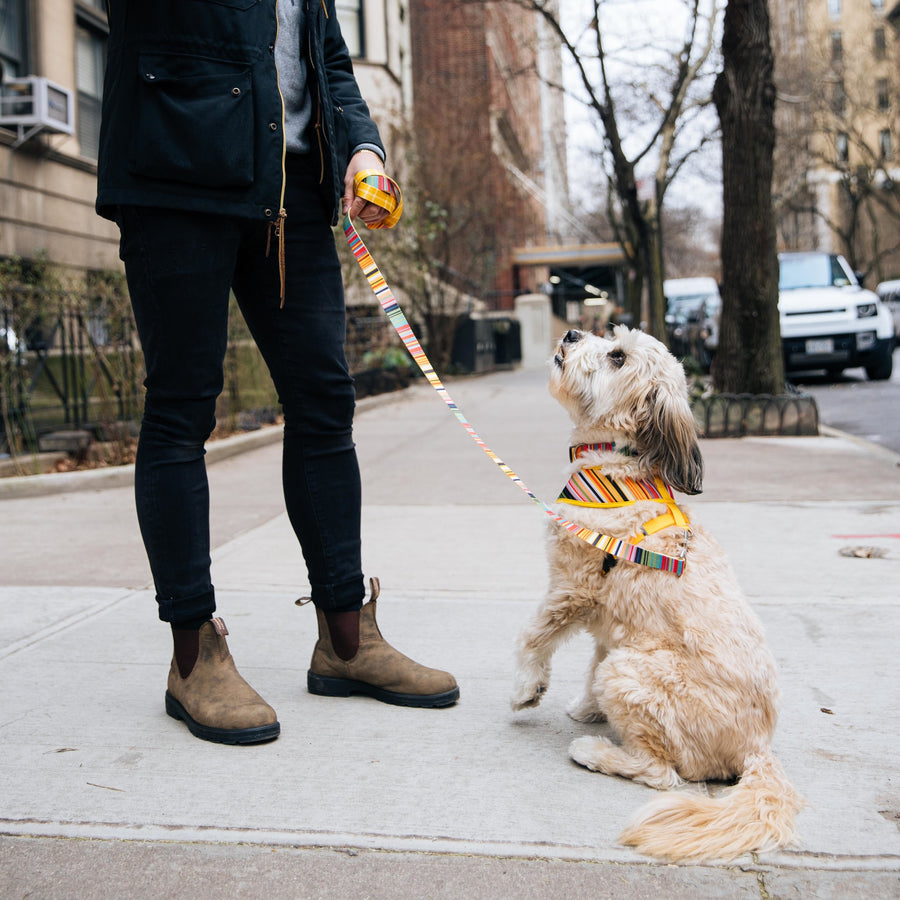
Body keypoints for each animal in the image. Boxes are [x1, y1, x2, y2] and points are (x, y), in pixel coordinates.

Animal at [510, 326, 800, 860]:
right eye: (611, 341)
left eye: (617, 357)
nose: (572, 332)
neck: (617, 465)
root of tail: (756, 749)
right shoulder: (612, 622)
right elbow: (590, 665)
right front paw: (588, 707)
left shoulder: (572, 588)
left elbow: (532, 638)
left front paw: (527, 690)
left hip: (632, 674)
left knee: (661, 774)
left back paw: (597, 752)